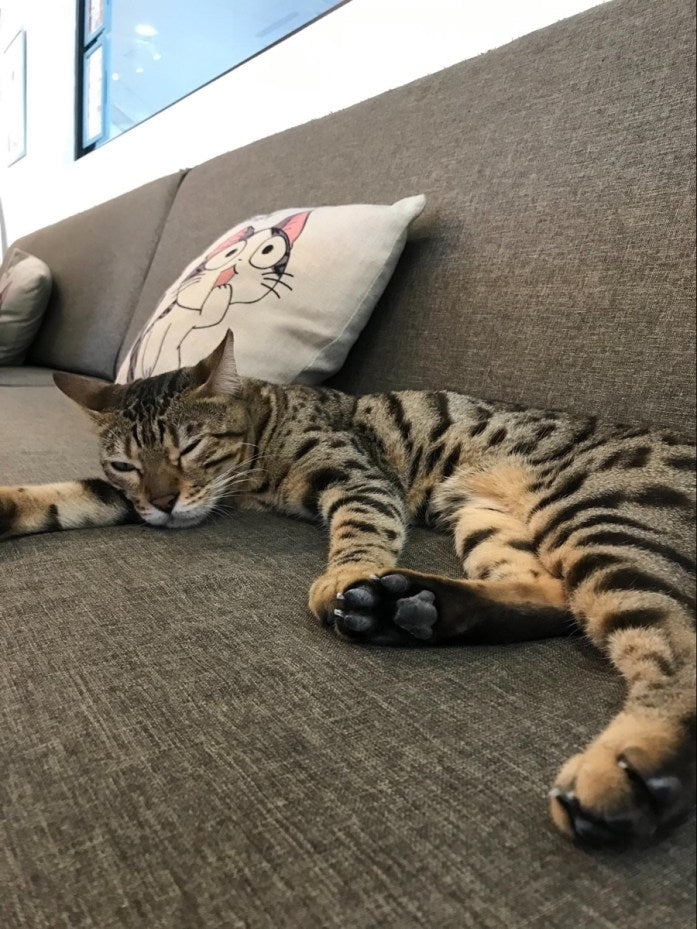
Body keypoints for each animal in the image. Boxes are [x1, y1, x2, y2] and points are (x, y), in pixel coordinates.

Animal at [1, 330, 696, 844]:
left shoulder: (355, 473)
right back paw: (409, 608)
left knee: (673, 647)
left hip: (602, 516)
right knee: (549, 597)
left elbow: (361, 527)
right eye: (125, 464)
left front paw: (345, 573)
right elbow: (70, 497)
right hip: (490, 521)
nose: (165, 501)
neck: (261, 431)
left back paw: (633, 765)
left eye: (191, 445)